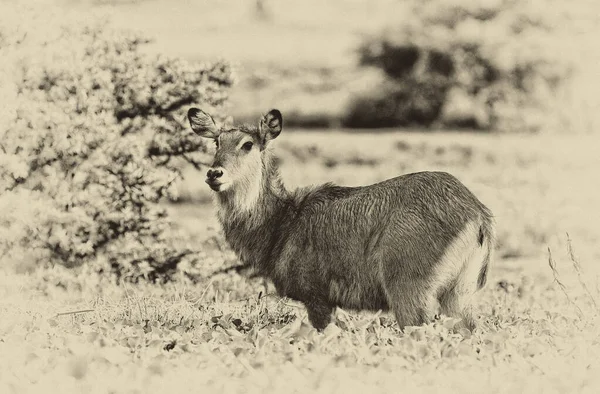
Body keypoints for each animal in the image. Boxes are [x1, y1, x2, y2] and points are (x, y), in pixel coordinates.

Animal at [189, 107, 496, 332]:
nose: (214, 173)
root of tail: (478, 214)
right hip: (459, 293)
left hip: (410, 290)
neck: (282, 224)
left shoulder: (317, 298)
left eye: (248, 144)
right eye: (216, 142)